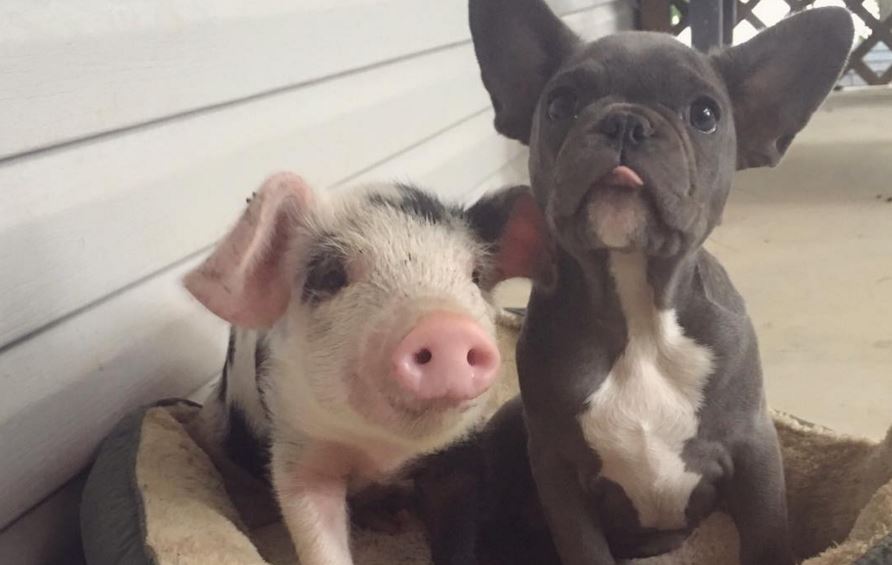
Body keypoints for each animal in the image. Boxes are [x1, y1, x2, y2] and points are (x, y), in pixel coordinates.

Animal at [183, 172, 547, 565]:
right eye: (331, 276)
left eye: (476, 275)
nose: (445, 327)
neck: (382, 453)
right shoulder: (298, 446)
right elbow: (315, 527)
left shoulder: (460, 451)